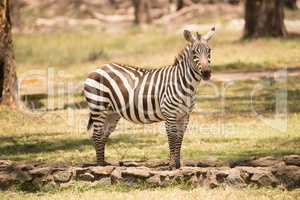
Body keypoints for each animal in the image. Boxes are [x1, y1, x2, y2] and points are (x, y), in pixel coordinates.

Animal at [84, 27, 216, 170]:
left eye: (209, 50)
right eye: (193, 52)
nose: (206, 73)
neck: (184, 83)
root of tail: (99, 68)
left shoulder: (184, 116)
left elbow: (179, 139)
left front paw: (178, 165)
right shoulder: (170, 114)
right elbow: (172, 138)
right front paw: (171, 166)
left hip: (111, 113)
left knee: (103, 135)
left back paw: (103, 164)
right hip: (98, 107)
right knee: (96, 135)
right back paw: (99, 167)